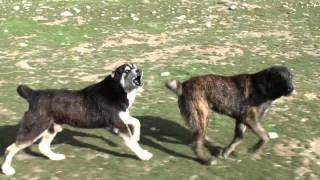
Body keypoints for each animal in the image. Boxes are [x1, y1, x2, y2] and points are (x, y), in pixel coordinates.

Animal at [1, 63, 153, 176]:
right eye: (127, 70)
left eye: (136, 66)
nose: (139, 70)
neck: (117, 89)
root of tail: (34, 94)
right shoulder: (118, 124)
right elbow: (132, 142)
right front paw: (143, 155)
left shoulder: (121, 118)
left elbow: (137, 122)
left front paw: (137, 137)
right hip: (35, 128)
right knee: (11, 148)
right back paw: (7, 170)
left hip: (52, 127)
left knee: (42, 146)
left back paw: (55, 157)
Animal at [166, 65, 294, 165]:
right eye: (279, 77)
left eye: (290, 77)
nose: (291, 88)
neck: (262, 87)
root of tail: (184, 85)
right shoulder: (250, 119)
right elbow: (265, 136)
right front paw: (254, 150)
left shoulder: (242, 120)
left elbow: (238, 139)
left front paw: (226, 152)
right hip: (201, 114)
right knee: (196, 142)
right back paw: (206, 159)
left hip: (205, 115)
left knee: (202, 136)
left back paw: (213, 145)